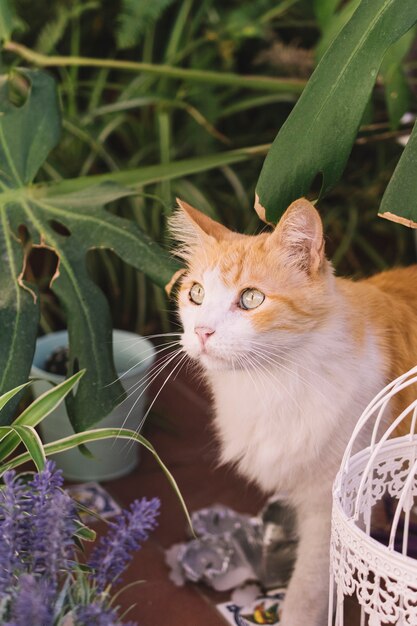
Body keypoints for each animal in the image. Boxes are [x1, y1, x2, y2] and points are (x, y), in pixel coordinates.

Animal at [167, 196, 416, 624]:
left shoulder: (328, 502)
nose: (201, 332)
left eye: (251, 299)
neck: (271, 381)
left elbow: (307, 588)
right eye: (196, 293)